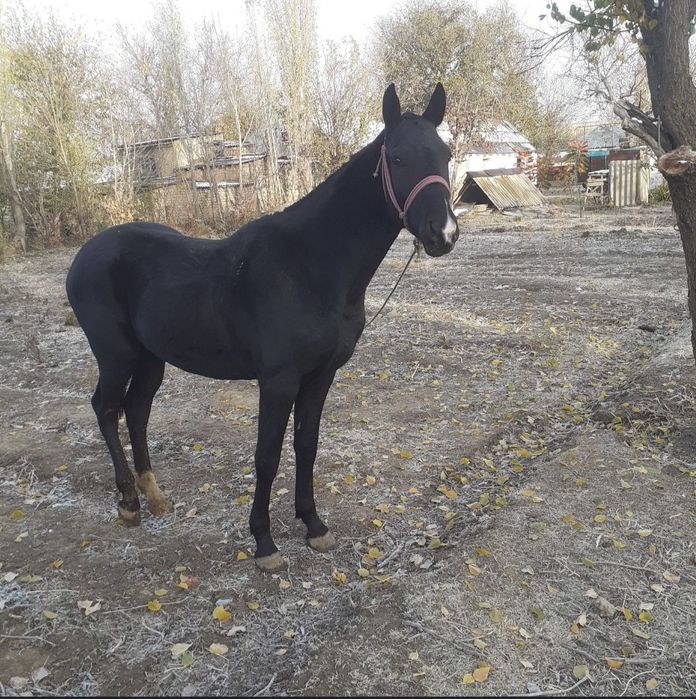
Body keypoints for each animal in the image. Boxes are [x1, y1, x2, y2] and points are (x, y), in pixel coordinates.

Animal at [66, 83, 459, 572]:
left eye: (445, 154)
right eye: (399, 157)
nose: (443, 233)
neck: (310, 266)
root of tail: (86, 254)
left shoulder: (320, 376)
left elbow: (307, 445)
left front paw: (313, 525)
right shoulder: (278, 380)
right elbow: (267, 455)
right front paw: (264, 542)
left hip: (150, 358)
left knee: (136, 410)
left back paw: (154, 496)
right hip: (115, 355)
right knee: (106, 408)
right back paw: (128, 504)